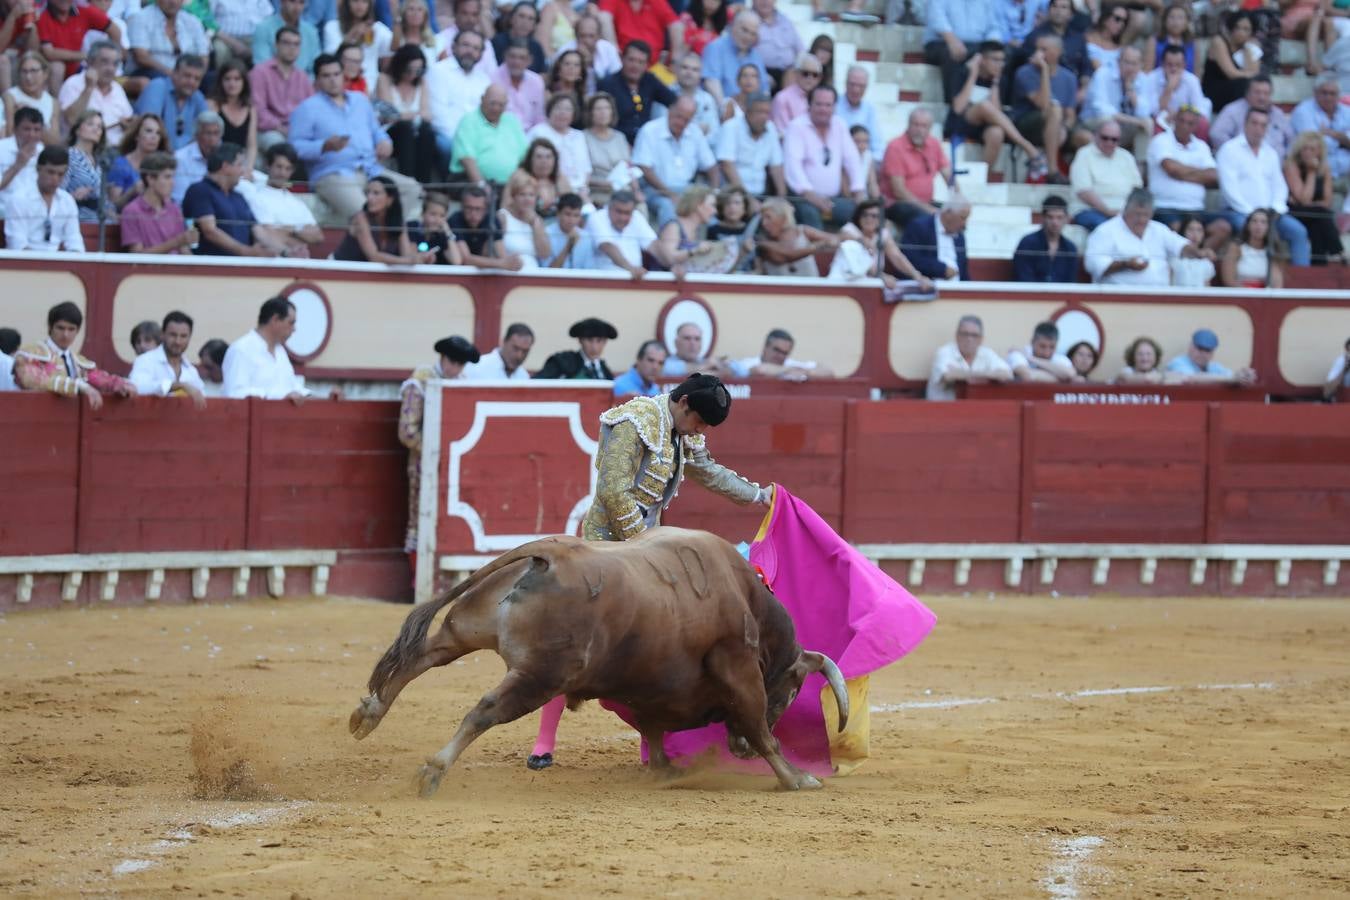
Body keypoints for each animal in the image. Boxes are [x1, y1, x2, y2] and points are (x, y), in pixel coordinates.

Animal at [353, 528, 847, 793]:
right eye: (791, 692)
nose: (736, 750)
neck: (748, 598)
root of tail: (549, 552)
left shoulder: (650, 684)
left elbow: (653, 727)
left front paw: (665, 769)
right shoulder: (739, 666)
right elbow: (761, 729)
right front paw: (798, 778)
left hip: (467, 629)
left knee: (422, 656)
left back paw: (369, 714)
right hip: (539, 675)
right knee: (484, 710)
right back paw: (433, 772)